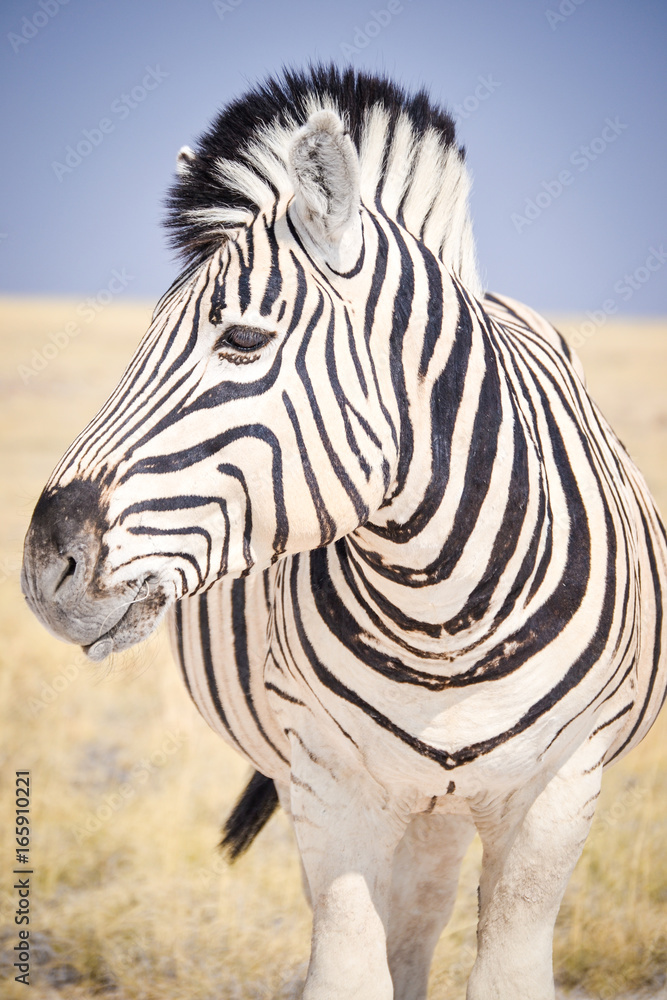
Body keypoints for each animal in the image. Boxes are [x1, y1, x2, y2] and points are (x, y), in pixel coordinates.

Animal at [21, 65, 667, 1000]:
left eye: (242, 339)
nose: (43, 567)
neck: (445, 619)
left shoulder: (561, 789)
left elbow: (505, 970)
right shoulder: (329, 785)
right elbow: (349, 970)